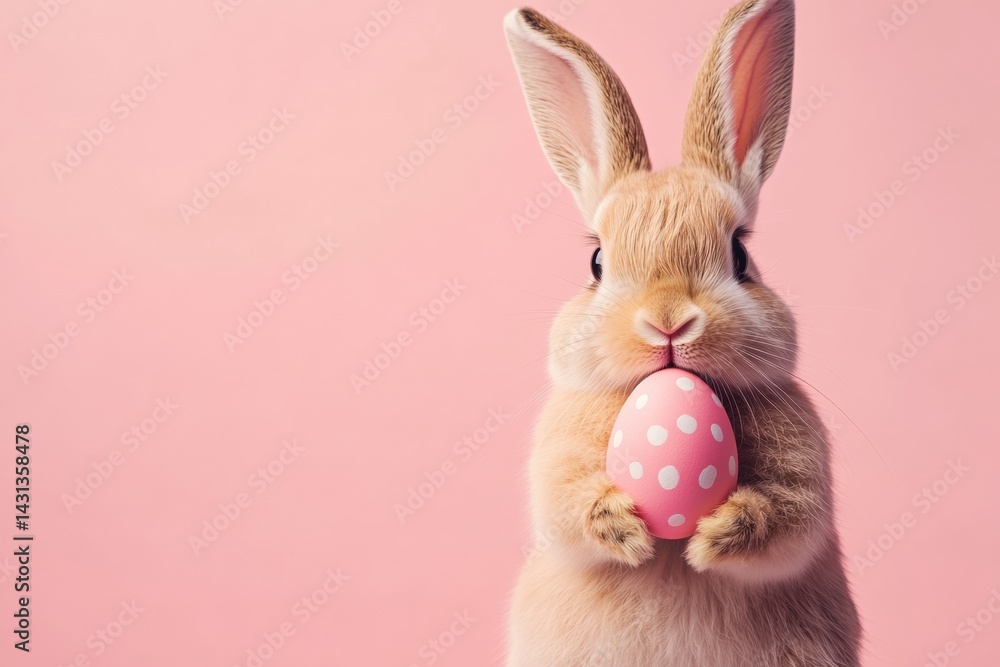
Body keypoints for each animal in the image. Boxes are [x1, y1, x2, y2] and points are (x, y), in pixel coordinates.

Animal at [502, 0, 862, 665]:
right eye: (596, 262)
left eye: (740, 256)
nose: (667, 319)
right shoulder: (557, 464)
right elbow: (567, 505)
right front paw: (625, 527)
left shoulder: (804, 474)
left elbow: (788, 517)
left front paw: (714, 535)